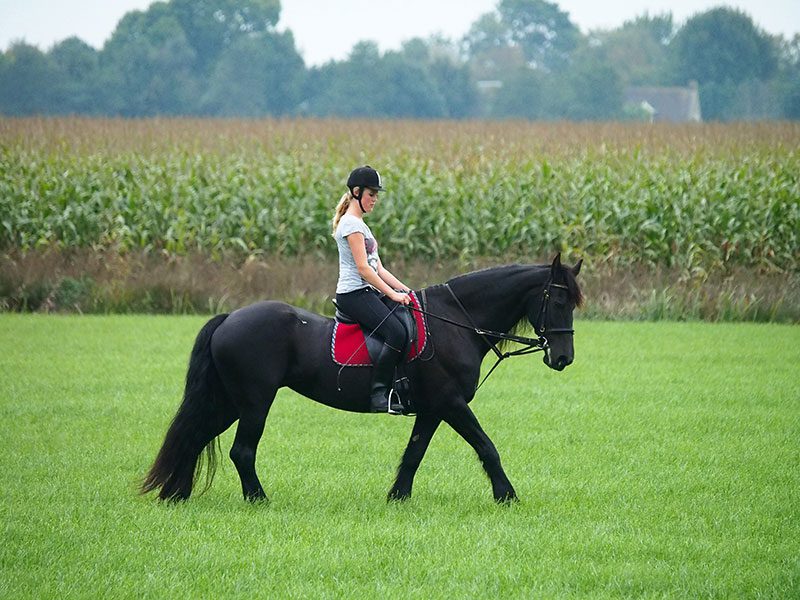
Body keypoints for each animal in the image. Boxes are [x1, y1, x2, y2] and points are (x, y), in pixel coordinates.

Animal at [142, 255, 580, 504]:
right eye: (559, 300)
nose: (563, 358)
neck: (457, 322)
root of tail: (230, 317)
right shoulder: (452, 402)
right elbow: (487, 447)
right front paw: (507, 497)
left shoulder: (433, 408)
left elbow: (414, 454)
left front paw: (397, 498)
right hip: (253, 402)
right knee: (241, 451)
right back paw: (257, 500)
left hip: (230, 402)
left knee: (195, 435)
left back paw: (175, 494)